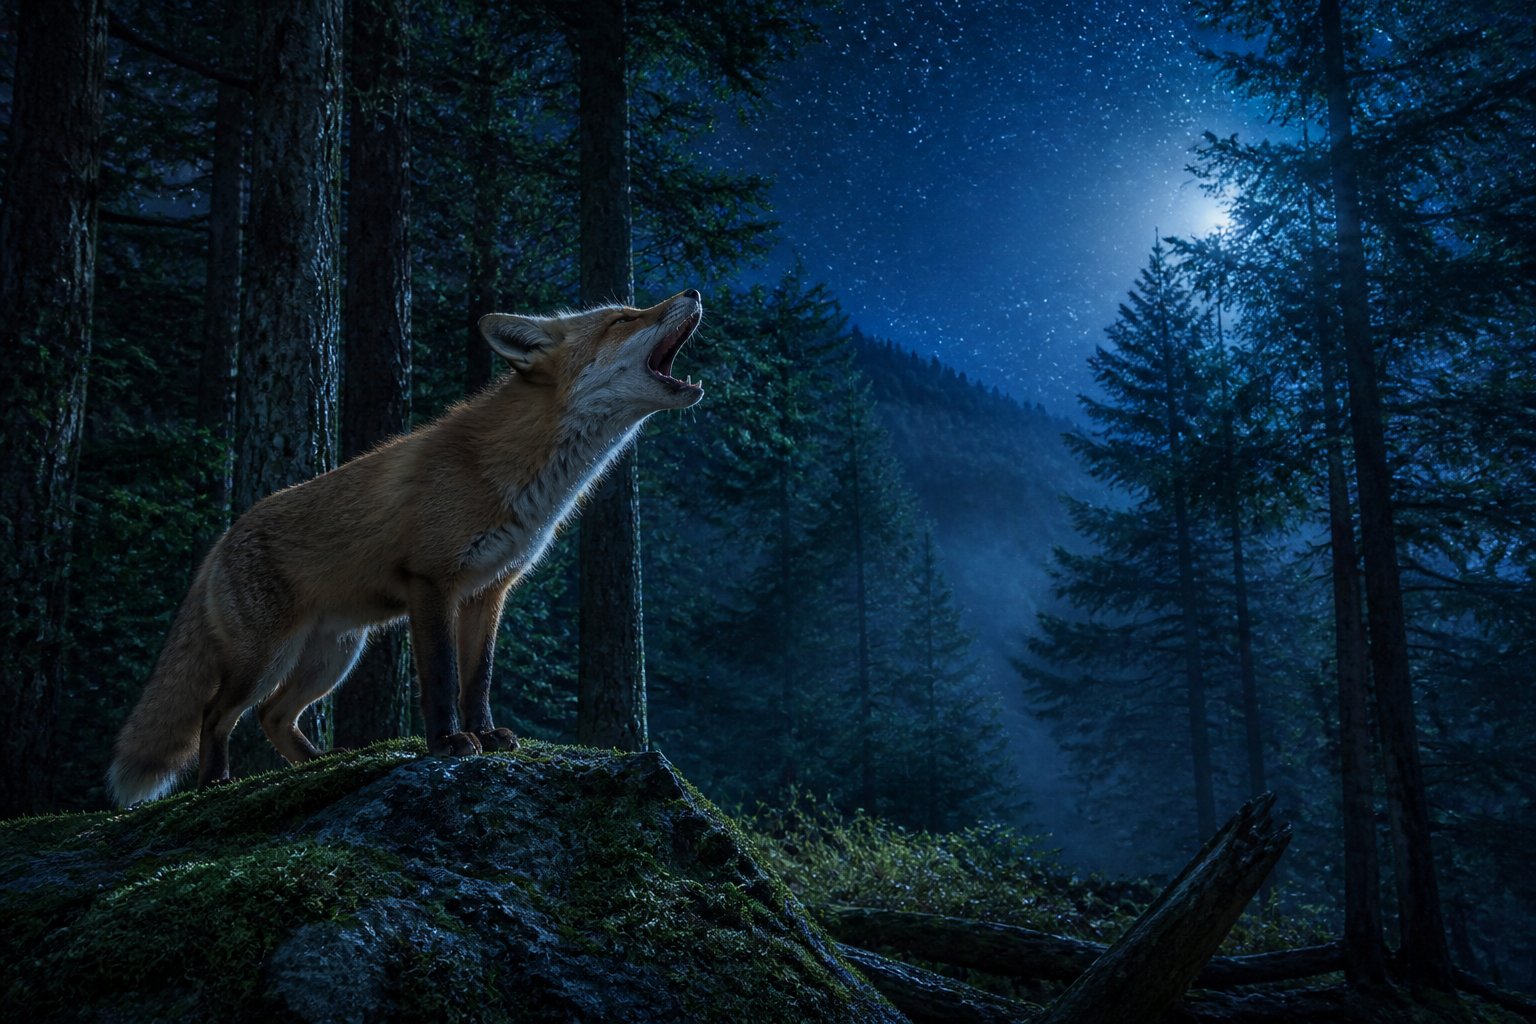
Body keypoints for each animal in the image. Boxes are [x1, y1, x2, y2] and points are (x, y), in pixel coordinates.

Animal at [107, 289, 705, 807]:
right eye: (623, 318)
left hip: (332, 658)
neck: (521, 475)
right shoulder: (432, 580)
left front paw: (485, 735)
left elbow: (477, 681)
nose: (693, 293)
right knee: (215, 714)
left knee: (273, 716)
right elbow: (441, 678)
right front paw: (447, 744)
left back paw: (321, 763)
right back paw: (216, 782)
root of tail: (223, 539)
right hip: (265, 659)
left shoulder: (489, 590)